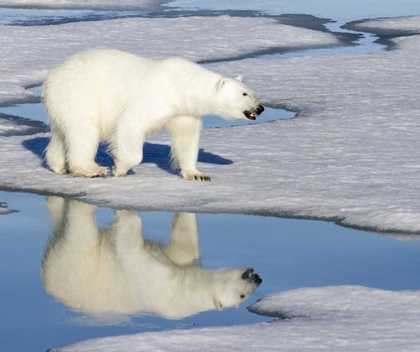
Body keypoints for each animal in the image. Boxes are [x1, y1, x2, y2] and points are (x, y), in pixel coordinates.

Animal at [41, 49, 262, 180]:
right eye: (244, 94)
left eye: (251, 91)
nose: (260, 108)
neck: (182, 86)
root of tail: (51, 76)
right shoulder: (156, 98)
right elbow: (130, 124)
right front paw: (120, 168)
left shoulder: (184, 112)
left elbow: (186, 140)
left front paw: (197, 174)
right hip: (80, 94)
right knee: (84, 132)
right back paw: (93, 169)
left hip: (63, 103)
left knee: (63, 133)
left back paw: (58, 165)